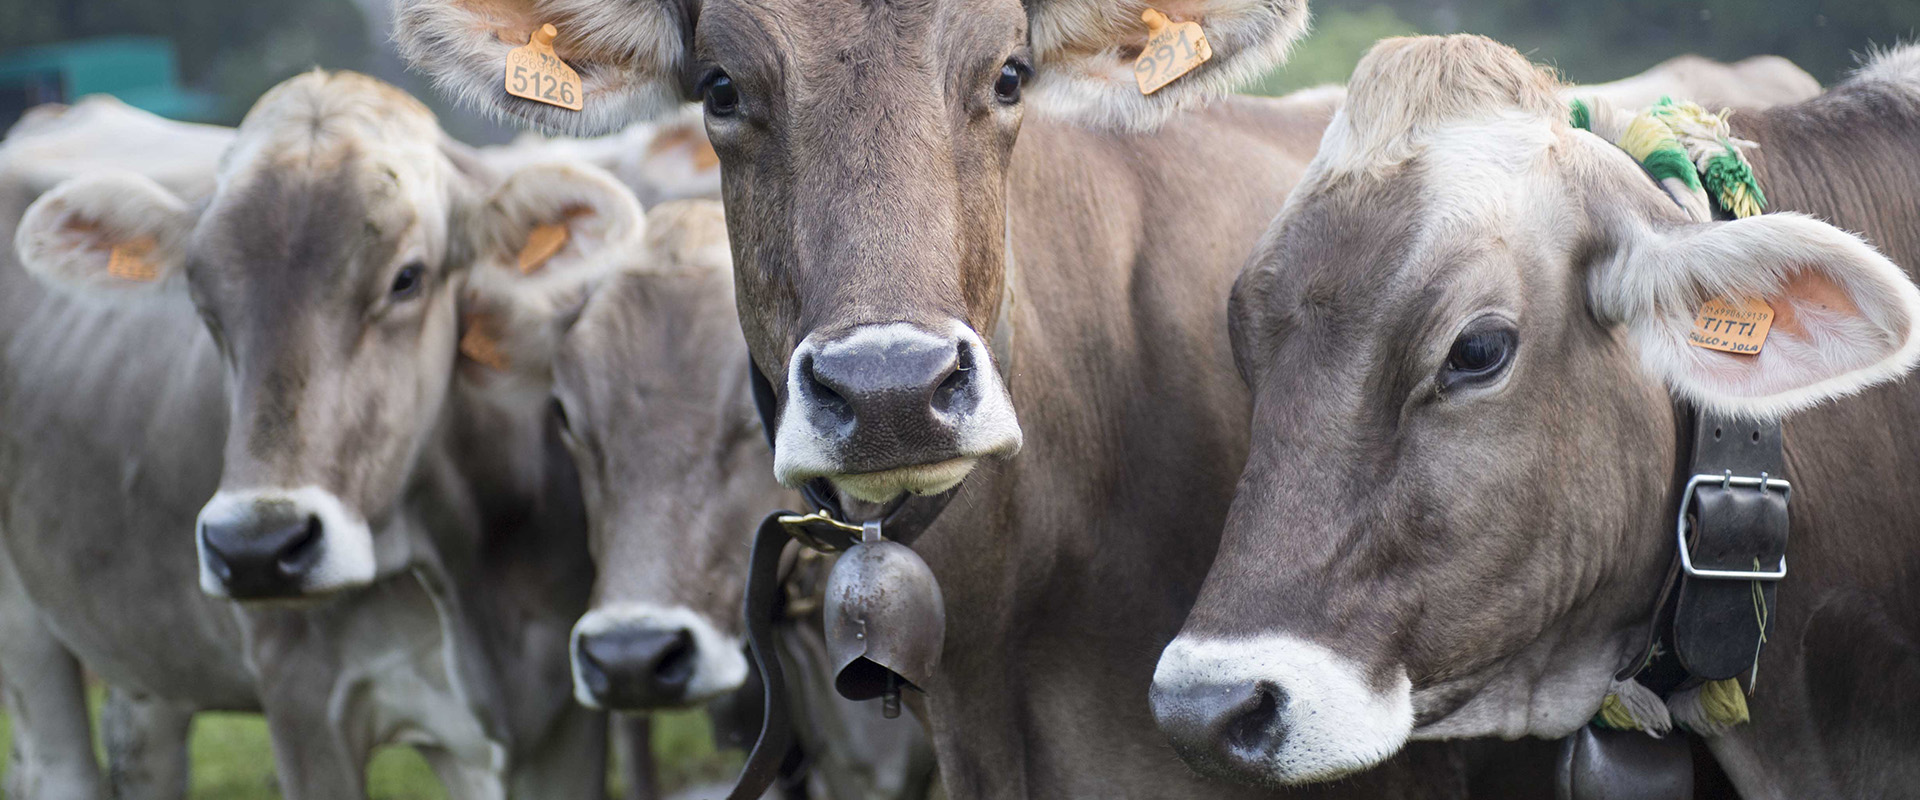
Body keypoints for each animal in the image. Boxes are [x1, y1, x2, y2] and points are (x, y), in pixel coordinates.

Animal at [0, 71, 645, 794]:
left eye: (407, 278)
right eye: (201, 300)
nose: (255, 548)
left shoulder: (560, 717)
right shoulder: (303, 700)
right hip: (23, 625)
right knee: (59, 766)